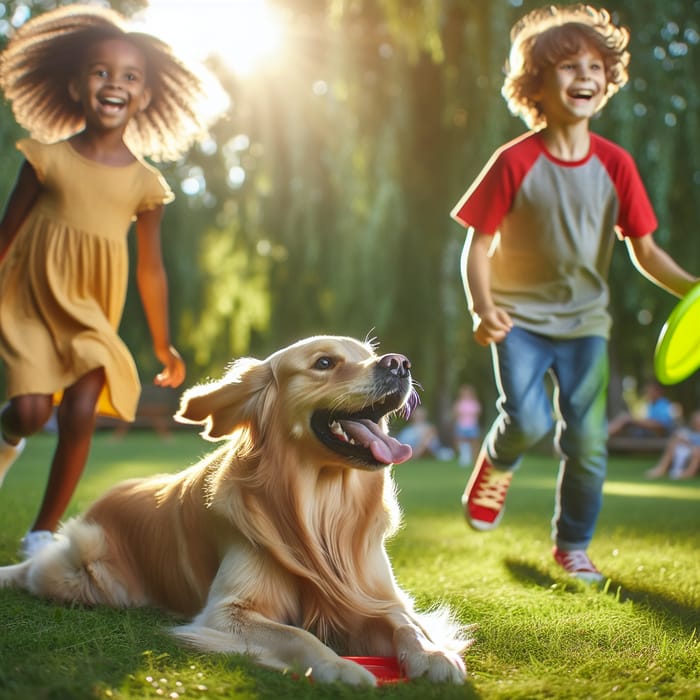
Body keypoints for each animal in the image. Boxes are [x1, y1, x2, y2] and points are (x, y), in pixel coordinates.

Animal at [1, 336, 470, 688]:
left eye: (370, 353)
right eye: (324, 363)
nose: (400, 363)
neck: (320, 508)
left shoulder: (371, 595)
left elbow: (404, 623)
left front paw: (433, 653)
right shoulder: (227, 613)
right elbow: (296, 634)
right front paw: (337, 666)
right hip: (87, 575)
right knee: (37, 571)